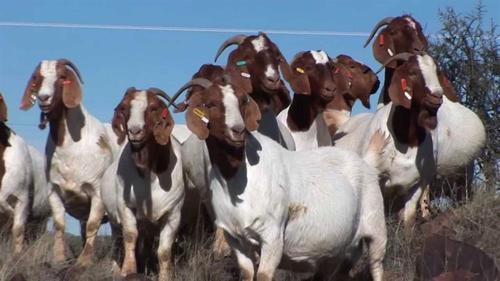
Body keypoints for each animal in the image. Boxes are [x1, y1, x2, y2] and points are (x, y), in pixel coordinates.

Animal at [19, 58, 116, 264]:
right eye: (37, 78)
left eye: (62, 77)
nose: (44, 98)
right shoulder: (54, 191)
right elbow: (60, 224)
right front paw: (59, 257)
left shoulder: (97, 192)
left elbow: (92, 225)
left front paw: (84, 261)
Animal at [100, 86, 183, 278]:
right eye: (124, 108)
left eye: (153, 108)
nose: (135, 131)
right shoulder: (125, 206)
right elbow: (130, 236)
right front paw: (127, 271)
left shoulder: (173, 213)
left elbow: (164, 251)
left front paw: (165, 277)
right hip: (114, 220)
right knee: (117, 242)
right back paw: (115, 268)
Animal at [334, 52, 444, 232]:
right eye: (412, 72)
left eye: (437, 71)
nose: (436, 97)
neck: (406, 141)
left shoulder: (418, 184)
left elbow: (409, 219)